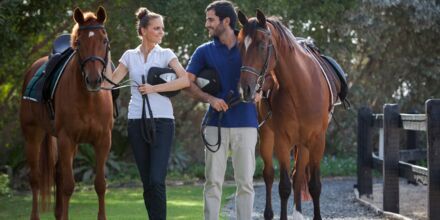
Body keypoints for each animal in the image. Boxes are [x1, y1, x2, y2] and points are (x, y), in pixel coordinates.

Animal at [19, 6, 112, 220]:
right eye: (79, 42)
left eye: (104, 40)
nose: (93, 80)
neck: (89, 99)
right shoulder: (66, 138)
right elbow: (69, 186)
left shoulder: (103, 140)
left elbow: (100, 184)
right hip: (33, 136)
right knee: (35, 178)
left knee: (58, 174)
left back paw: (58, 213)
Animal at [237, 9, 344, 219]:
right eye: (240, 47)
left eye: (261, 45)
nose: (246, 89)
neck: (302, 87)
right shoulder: (282, 139)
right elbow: (284, 186)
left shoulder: (317, 140)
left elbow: (314, 185)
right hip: (268, 137)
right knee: (269, 175)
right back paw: (269, 213)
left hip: (303, 144)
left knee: (299, 176)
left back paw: (298, 213)